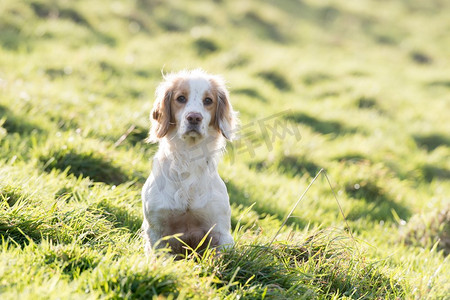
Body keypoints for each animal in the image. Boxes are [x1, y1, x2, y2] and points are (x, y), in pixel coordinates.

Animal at [142, 69, 237, 254]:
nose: (194, 117)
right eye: (180, 98)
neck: (188, 159)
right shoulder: (156, 230)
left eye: (208, 100)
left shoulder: (221, 232)